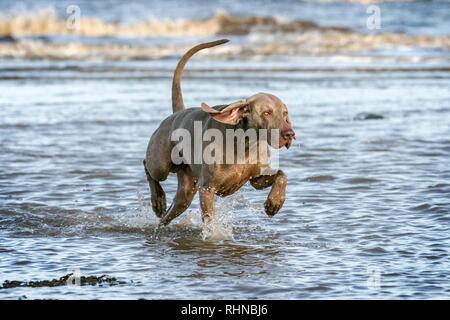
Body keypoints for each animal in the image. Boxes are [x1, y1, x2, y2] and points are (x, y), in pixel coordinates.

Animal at [142, 38, 294, 226]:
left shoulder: (257, 179)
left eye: (285, 114)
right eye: (267, 113)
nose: (290, 134)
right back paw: (158, 200)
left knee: (169, 213)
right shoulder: (207, 188)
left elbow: (281, 174)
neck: (245, 144)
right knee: (148, 167)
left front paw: (274, 203)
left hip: (185, 193)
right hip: (160, 164)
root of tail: (177, 114)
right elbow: (209, 220)